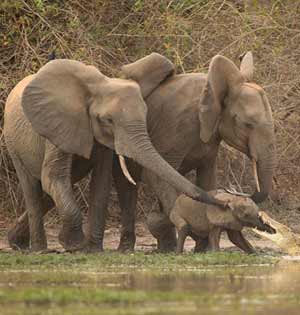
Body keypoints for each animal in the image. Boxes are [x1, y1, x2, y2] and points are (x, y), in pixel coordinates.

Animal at [4, 53, 225, 252]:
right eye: (107, 120)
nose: (222, 203)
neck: (98, 87)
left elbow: (100, 184)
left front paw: (92, 250)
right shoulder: (58, 126)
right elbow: (53, 175)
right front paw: (74, 245)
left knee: (62, 185)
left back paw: (18, 242)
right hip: (12, 141)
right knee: (34, 188)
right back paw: (37, 249)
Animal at [113, 53, 278, 253]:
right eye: (247, 124)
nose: (245, 195)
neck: (208, 88)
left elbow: (207, 180)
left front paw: (202, 245)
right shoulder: (176, 127)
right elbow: (157, 177)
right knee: (127, 188)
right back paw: (131, 248)